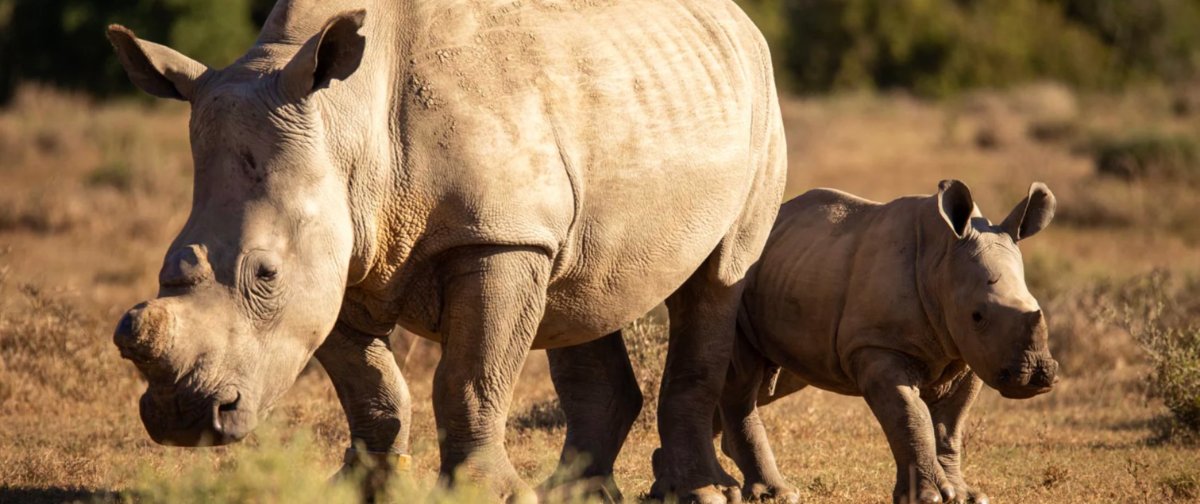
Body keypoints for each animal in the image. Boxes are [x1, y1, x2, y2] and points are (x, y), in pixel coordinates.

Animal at [106, 0, 785, 500]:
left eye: (266, 274)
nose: (183, 416)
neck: (345, 127)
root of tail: (740, 20)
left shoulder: (499, 235)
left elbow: (468, 375)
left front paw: (485, 496)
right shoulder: (340, 257)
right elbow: (370, 387)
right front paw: (361, 490)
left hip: (761, 105)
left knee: (716, 282)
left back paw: (700, 494)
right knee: (584, 294)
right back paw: (577, 495)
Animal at [717, 181, 1058, 504]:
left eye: (1035, 304)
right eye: (977, 316)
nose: (1037, 374)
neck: (941, 259)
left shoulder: (968, 353)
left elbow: (950, 425)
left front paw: (965, 496)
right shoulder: (879, 347)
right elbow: (910, 417)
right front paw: (929, 497)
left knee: (769, 382)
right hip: (734, 284)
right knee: (744, 382)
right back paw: (774, 494)